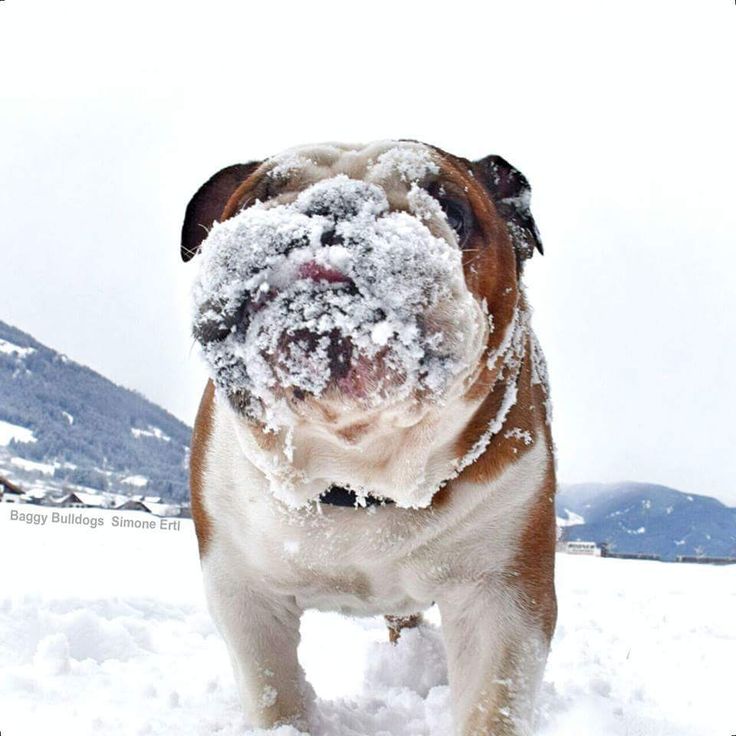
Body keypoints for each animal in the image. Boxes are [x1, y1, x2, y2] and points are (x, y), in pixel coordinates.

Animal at [181, 141, 556, 732]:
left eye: (453, 210)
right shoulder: (242, 588)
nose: (333, 201)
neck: (357, 470)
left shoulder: (504, 595)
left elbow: (492, 703)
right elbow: (274, 691)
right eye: (253, 201)